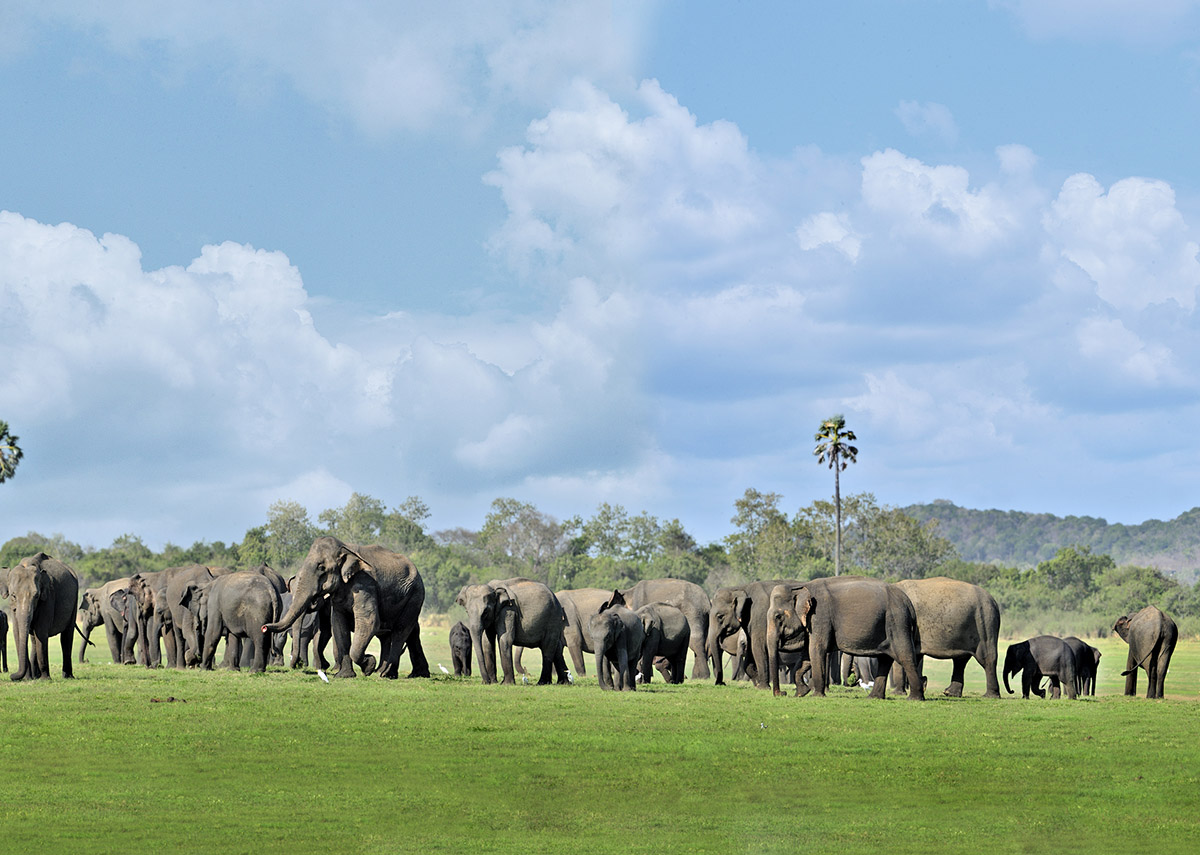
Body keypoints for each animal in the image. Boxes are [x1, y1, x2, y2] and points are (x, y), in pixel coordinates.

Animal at [1, 552, 80, 681]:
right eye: (13, 595)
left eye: (36, 596)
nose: (12, 676)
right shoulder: (12, 607)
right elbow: (17, 632)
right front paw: (27, 679)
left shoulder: (48, 598)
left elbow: (41, 632)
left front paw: (45, 679)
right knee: (34, 639)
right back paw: (35, 676)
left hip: (75, 600)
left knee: (66, 636)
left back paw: (68, 676)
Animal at [262, 537, 429, 679]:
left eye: (321, 567)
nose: (264, 627)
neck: (345, 547)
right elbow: (337, 625)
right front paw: (343, 675)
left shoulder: (365, 583)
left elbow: (369, 622)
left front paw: (369, 665)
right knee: (403, 632)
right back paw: (405, 673)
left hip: (415, 595)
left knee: (401, 630)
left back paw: (386, 674)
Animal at [766, 576, 924, 700]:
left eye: (778, 616)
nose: (782, 693)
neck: (801, 587)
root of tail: (909, 604)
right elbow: (806, 655)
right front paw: (801, 693)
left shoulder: (820, 617)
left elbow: (816, 650)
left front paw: (816, 696)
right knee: (885, 660)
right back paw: (873, 697)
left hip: (897, 622)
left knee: (905, 656)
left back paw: (914, 699)